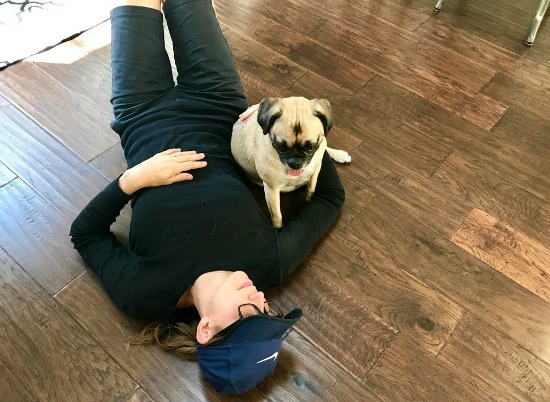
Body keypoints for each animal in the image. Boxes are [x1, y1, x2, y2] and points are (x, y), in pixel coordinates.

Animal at [231, 96, 351, 228]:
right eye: (281, 146)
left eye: (310, 147)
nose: (295, 162)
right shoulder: (272, 189)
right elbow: (277, 215)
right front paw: (278, 228)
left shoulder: (316, 168)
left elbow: (311, 188)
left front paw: (308, 199)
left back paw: (339, 155)